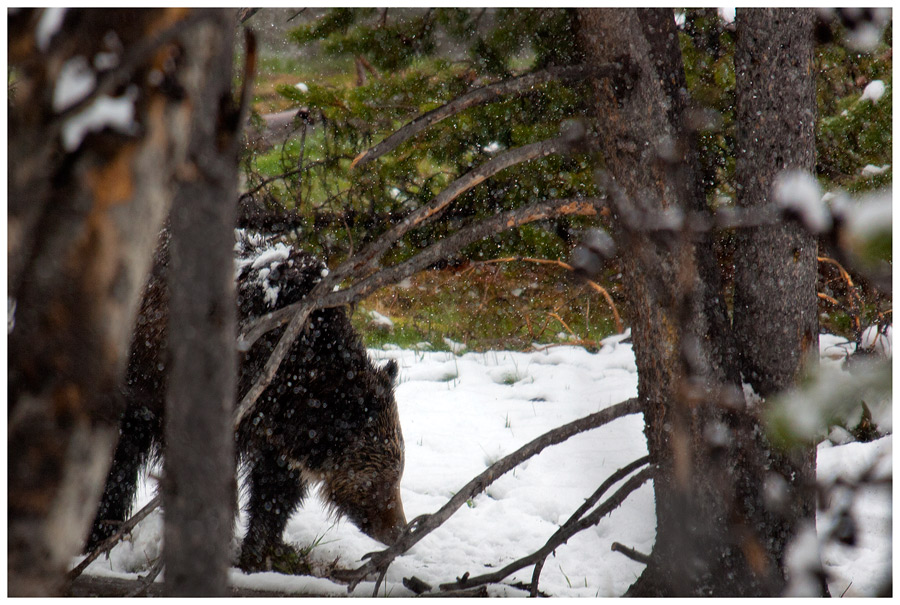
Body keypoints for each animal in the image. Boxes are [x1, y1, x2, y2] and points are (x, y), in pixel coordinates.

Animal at [86, 231, 406, 572]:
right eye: (380, 480)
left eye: (398, 471)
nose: (398, 531)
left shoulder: (276, 431)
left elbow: (275, 488)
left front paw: (263, 550)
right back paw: (101, 535)